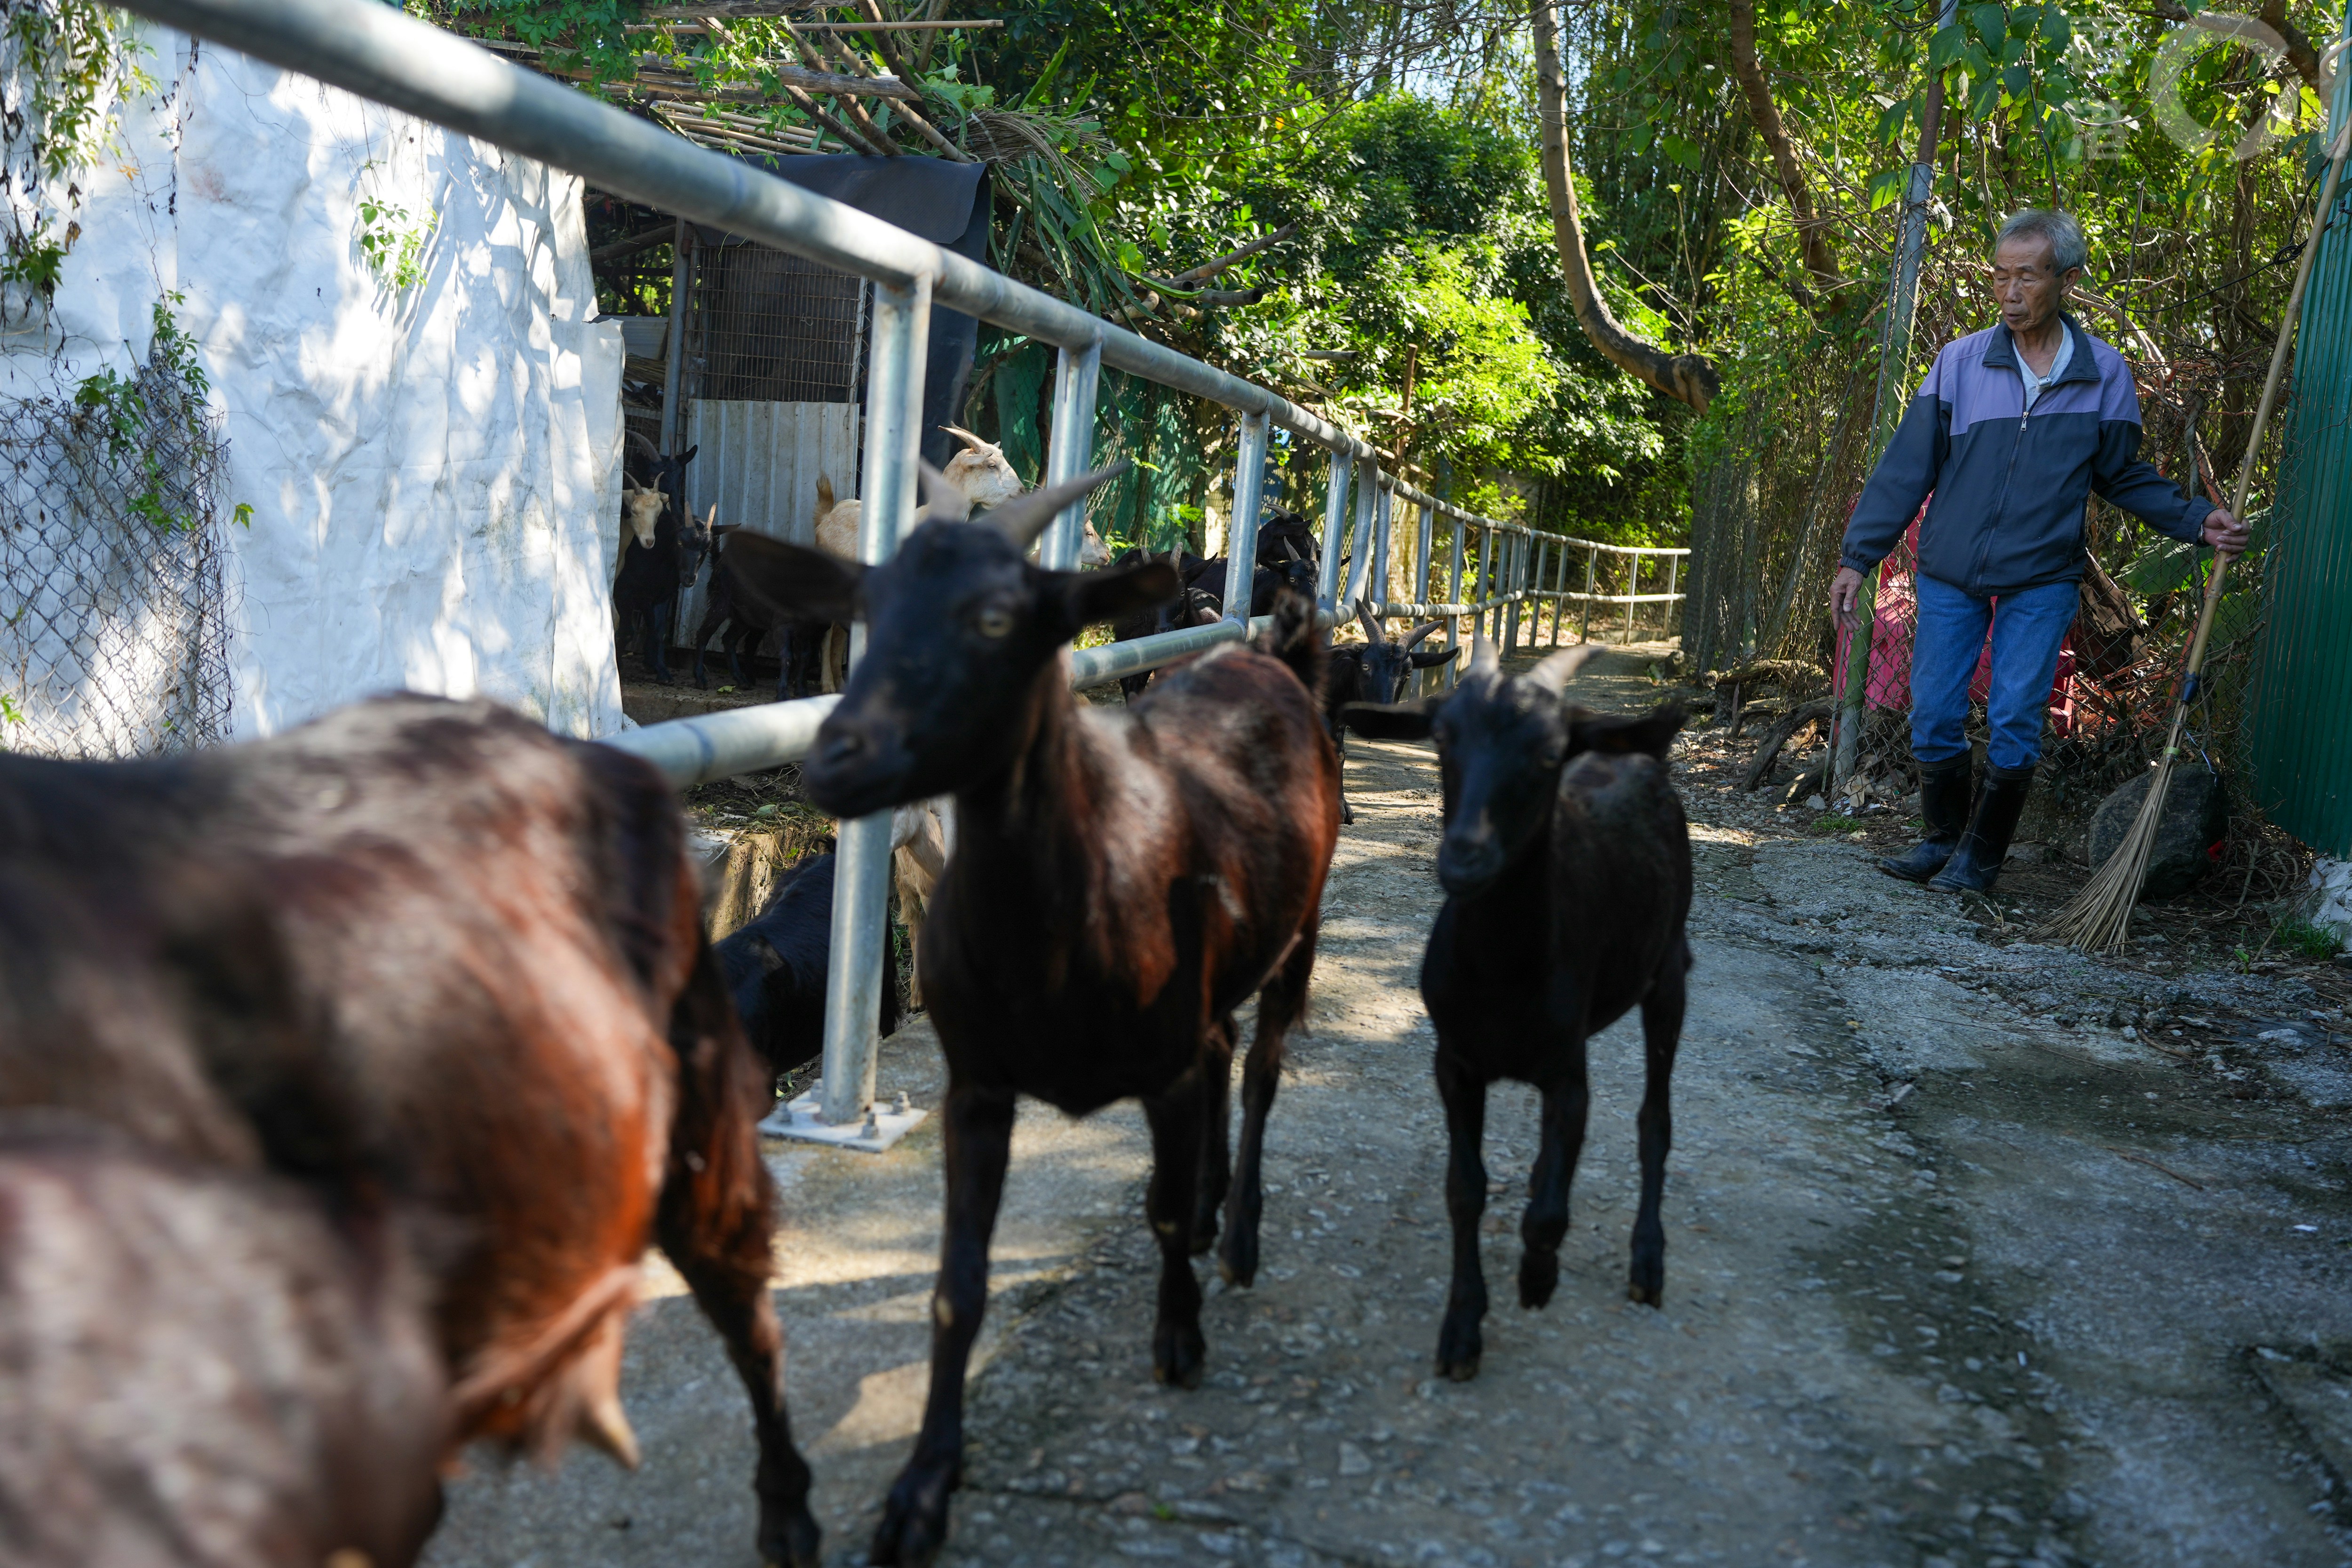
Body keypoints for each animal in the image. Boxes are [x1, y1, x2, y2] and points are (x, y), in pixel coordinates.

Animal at [1345, 635, 1693, 1373]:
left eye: (1547, 752)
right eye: (1442, 738)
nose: (1465, 859)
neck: (1502, 972)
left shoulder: (1568, 1072)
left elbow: (1550, 1216)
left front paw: (1537, 1279)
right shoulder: (1455, 1063)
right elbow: (1464, 1188)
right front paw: (1461, 1328)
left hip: (1669, 974)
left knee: (1655, 1120)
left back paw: (1647, 1263)